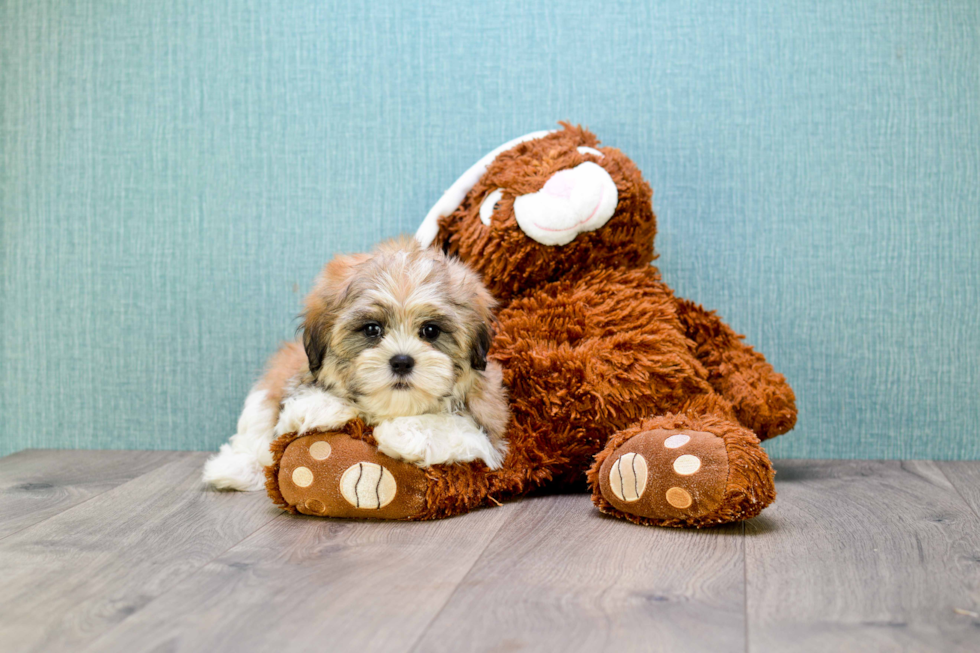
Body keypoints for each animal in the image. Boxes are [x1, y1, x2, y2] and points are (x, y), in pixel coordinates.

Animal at [203, 238, 510, 488]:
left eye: (431, 331)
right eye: (372, 330)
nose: (402, 361)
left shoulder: (490, 429)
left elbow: (453, 426)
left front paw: (399, 433)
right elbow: (299, 408)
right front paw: (321, 408)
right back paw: (233, 468)